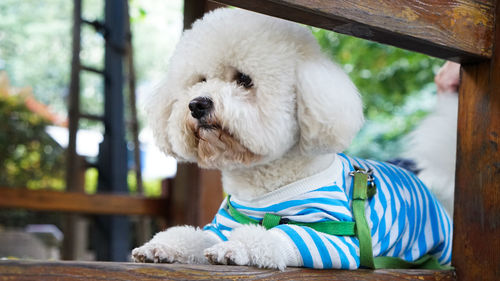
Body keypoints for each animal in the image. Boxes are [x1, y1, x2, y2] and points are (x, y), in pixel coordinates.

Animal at [134, 8, 454, 270]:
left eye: (244, 79)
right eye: (199, 80)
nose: (197, 104)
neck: (261, 188)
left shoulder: (337, 238)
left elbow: (278, 235)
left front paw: (235, 247)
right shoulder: (223, 224)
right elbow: (194, 235)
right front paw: (160, 246)